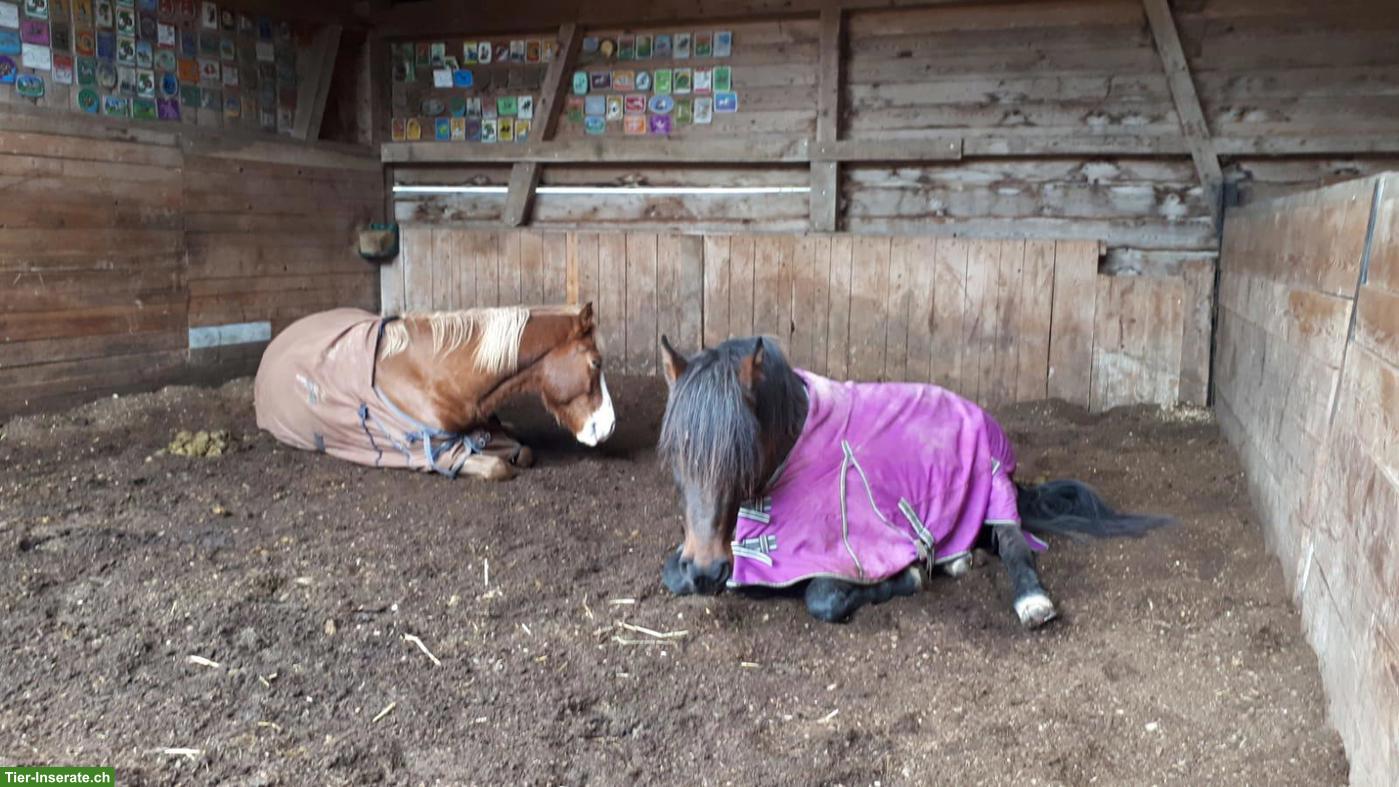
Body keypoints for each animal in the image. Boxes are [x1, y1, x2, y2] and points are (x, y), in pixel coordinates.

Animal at [254, 303, 613, 481]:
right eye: (596, 362)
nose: (609, 426)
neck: (434, 374)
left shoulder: (482, 431)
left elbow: (522, 451)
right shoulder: (433, 452)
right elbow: (498, 468)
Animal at [656, 334, 1170, 626]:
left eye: (740, 453)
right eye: (677, 452)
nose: (706, 571)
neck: (801, 446)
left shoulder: (862, 547)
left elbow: (824, 596)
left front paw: (908, 577)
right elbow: (670, 573)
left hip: (996, 487)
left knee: (1015, 546)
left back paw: (1031, 601)